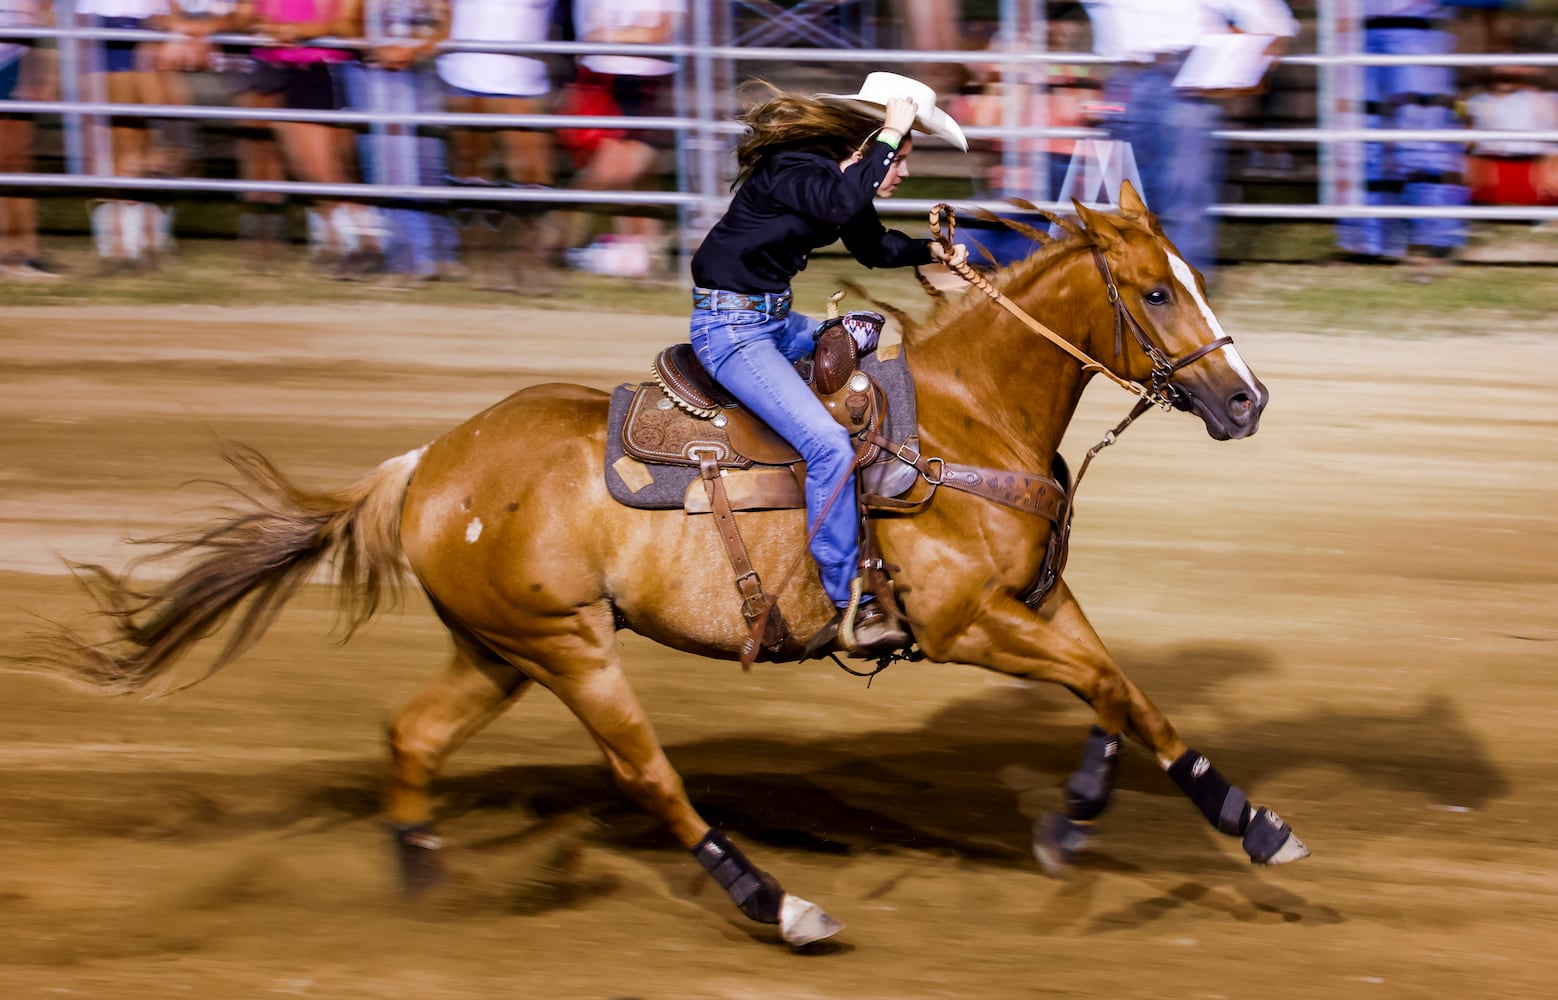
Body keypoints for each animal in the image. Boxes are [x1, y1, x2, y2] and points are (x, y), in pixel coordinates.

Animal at [18, 180, 1302, 940]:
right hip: (569, 649)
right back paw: (775, 901)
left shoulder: (1041, 598)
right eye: (1153, 289)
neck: (962, 417)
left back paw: (420, 879)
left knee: (413, 736)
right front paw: (1226, 822)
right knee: (648, 776)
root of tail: (426, 467)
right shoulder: (966, 622)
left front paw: (1156, 819)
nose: (1246, 402)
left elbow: (1121, 695)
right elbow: (1107, 686)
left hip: (498, 648)